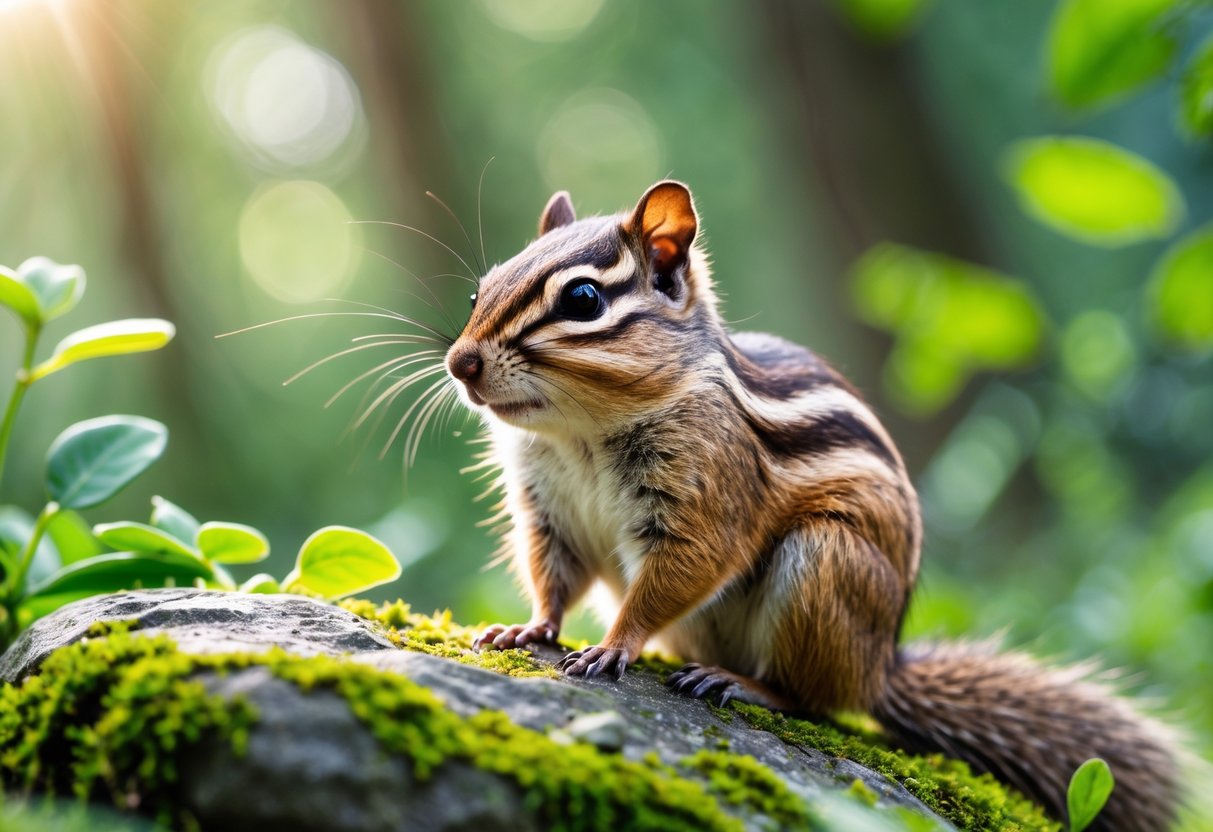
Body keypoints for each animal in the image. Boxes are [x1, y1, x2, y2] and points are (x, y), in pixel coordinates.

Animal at [444, 181, 1182, 831]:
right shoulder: (548, 511)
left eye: (583, 298)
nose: (459, 363)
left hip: (822, 564)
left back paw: (736, 684)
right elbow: (554, 577)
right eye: (483, 287)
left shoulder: (707, 497)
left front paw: (610, 647)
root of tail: (879, 666)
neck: (581, 432)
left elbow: (676, 575)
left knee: (815, 702)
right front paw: (527, 630)